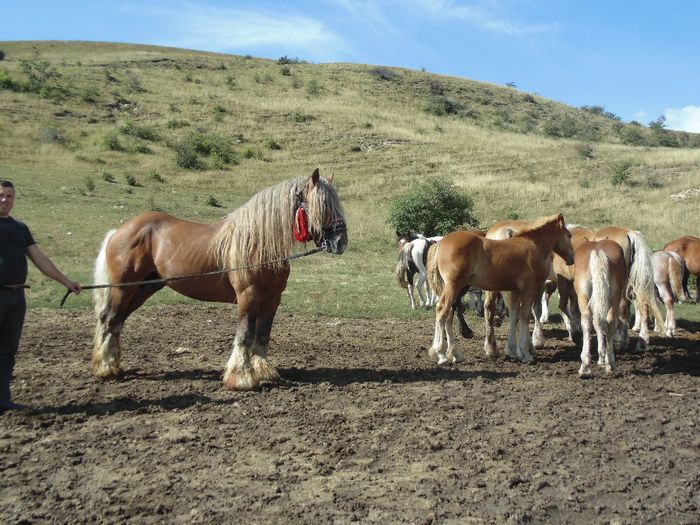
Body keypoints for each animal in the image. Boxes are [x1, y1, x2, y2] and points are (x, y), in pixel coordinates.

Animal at [90, 168, 348, 388]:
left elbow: (263, 334)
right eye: (323, 206)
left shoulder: (272, 299)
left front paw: (263, 371)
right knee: (110, 319)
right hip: (123, 288)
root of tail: (120, 231)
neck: (258, 244)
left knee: (118, 321)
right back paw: (105, 368)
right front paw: (241, 378)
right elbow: (245, 335)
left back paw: (113, 366)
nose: (340, 242)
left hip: (143, 288)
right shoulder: (247, 296)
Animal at [430, 213, 572, 364]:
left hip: (454, 287)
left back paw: (457, 353)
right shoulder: (530, 288)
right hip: (454, 285)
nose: (571, 258)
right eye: (569, 235)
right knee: (443, 309)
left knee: (451, 313)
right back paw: (441, 354)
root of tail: (440, 243)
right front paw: (527, 352)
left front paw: (513, 351)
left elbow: (515, 315)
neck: (533, 244)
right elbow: (527, 316)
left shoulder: (515, 290)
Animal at [576, 237, 628, 376]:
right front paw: (602, 358)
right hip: (613, 295)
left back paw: (589, 366)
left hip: (583, 295)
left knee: (589, 321)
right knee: (607, 321)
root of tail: (597, 250)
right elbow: (599, 323)